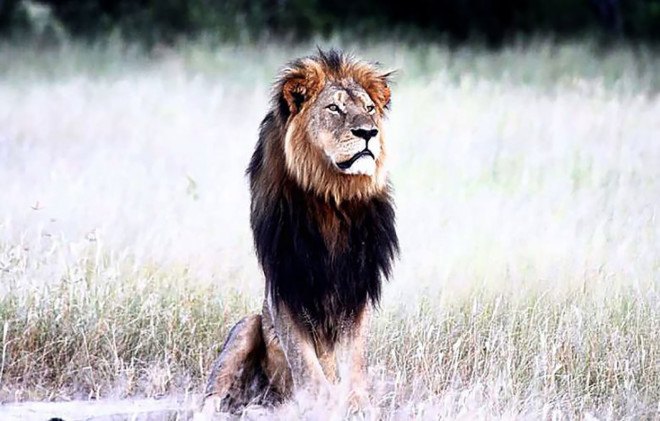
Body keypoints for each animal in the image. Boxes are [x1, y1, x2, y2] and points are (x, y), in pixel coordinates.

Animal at [201, 49, 399, 414]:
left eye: (369, 108)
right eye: (334, 108)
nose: (369, 132)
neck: (332, 196)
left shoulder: (358, 289)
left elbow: (354, 358)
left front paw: (356, 405)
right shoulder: (284, 286)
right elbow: (303, 358)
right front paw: (320, 403)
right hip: (246, 325)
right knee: (213, 396)